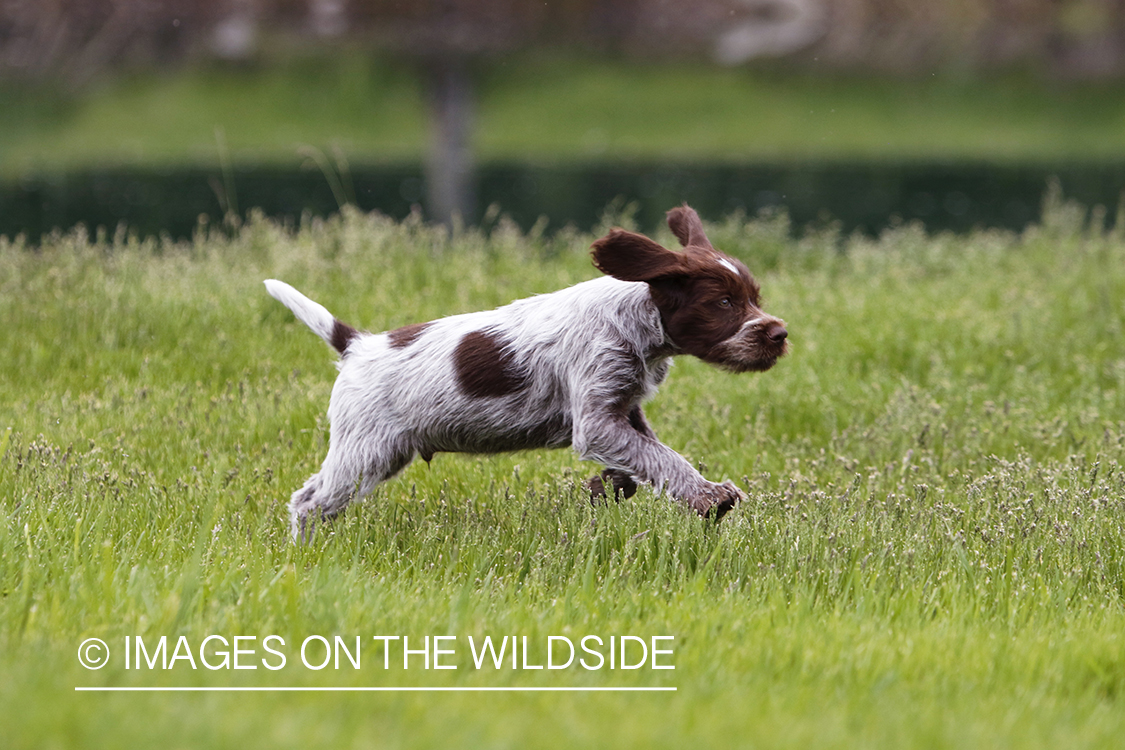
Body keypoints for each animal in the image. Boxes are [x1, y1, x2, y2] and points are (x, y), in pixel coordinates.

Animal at [266, 205, 787, 539]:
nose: (779, 333)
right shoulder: (597, 419)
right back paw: (306, 555)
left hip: (377, 452)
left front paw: (610, 485)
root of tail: (357, 345)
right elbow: (664, 459)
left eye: (754, 298)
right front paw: (708, 497)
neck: (639, 322)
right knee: (308, 502)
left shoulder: (623, 408)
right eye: (723, 303)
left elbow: (644, 457)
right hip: (366, 449)